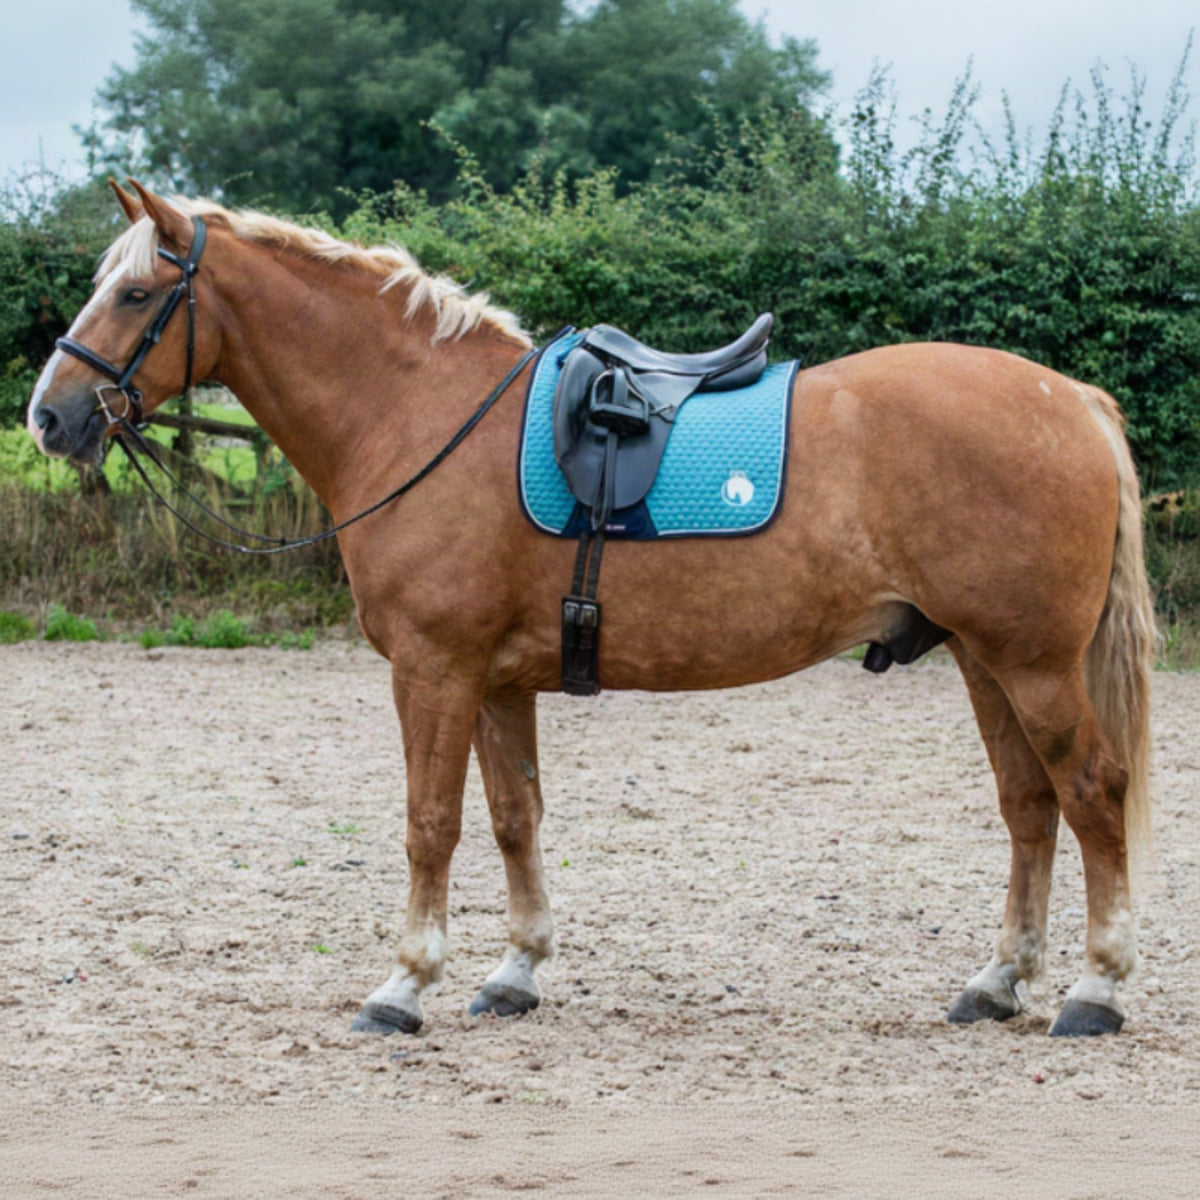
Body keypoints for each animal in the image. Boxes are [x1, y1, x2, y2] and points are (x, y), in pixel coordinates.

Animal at [27, 180, 1155, 1039]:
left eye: (135, 293)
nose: (48, 416)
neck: (420, 414)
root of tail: (1074, 400)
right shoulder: (493, 680)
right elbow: (513, 818)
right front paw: (514, 972)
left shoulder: (433, 670)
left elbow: (430, 824)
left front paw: (404, 984)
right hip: (980, 656)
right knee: (1029, 806)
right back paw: (996, 983)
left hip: (1032, 662)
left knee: (1091, 791)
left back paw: (1095, 989)